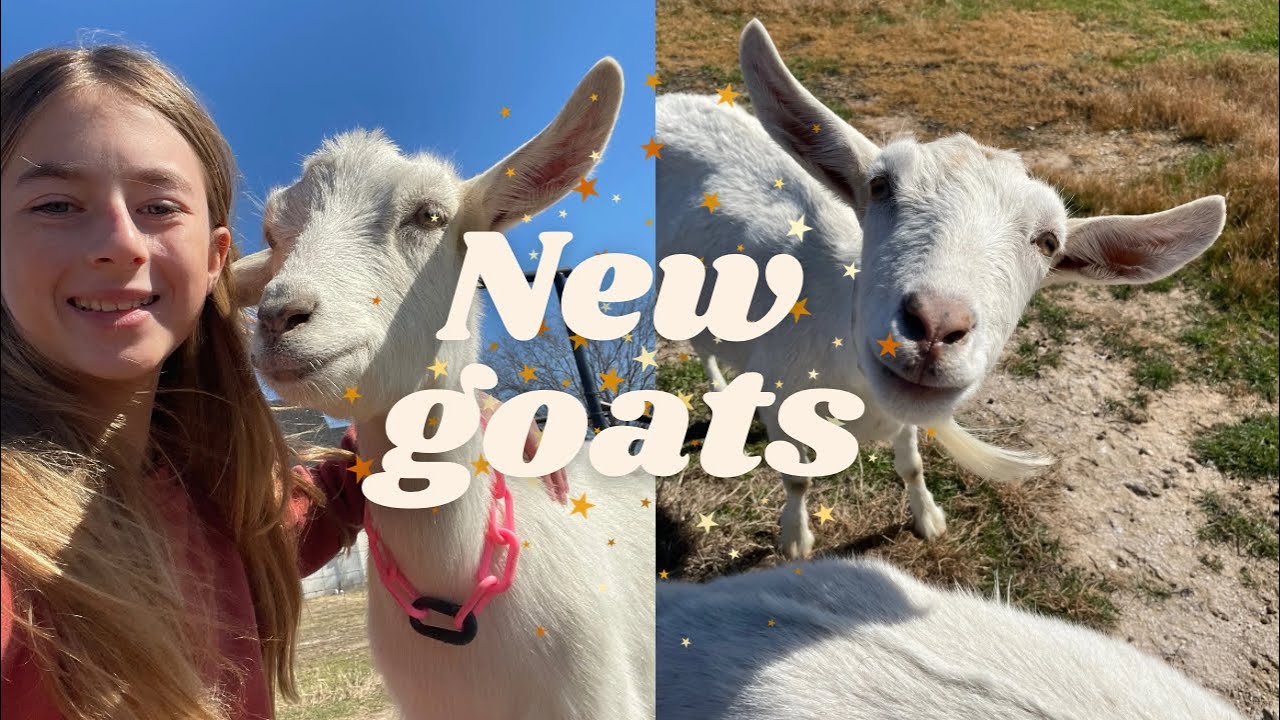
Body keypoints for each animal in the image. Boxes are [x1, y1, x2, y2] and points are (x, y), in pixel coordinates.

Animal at [656, 19, 1227, 558]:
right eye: (880, 186)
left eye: (1048, 242)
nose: (934, 326)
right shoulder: (782, 395)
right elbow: (796, 478)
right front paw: (795, 539)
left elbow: (910, 464)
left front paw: (927, 518)